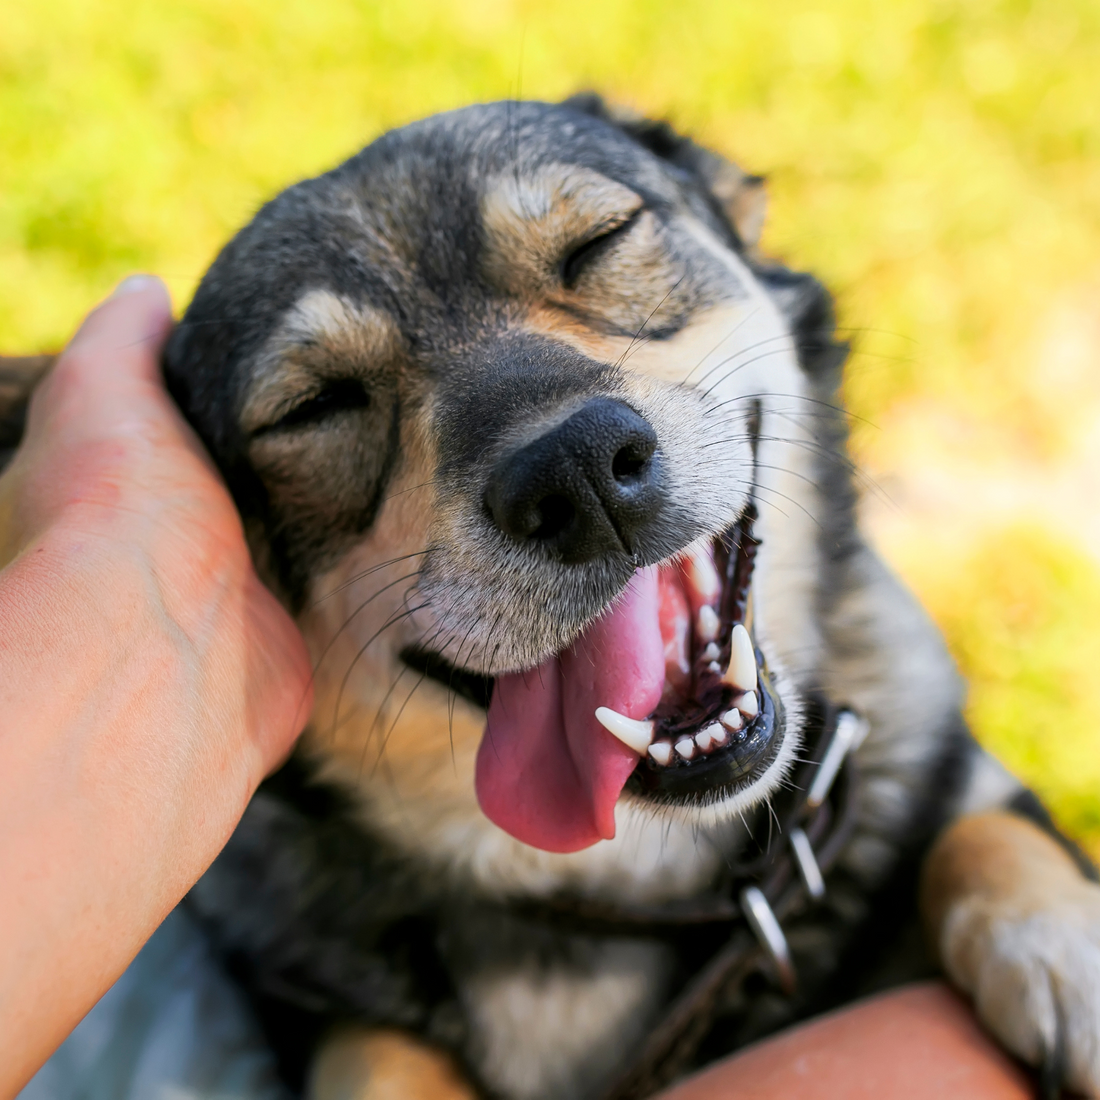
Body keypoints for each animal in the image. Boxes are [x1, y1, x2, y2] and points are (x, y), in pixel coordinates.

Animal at [2, 94, 1100, 1100]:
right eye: (314, 407)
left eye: (598, 242)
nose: (574, 473)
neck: (646, 875)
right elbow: (375, 1053)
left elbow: (984, 829)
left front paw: (1065, 949)